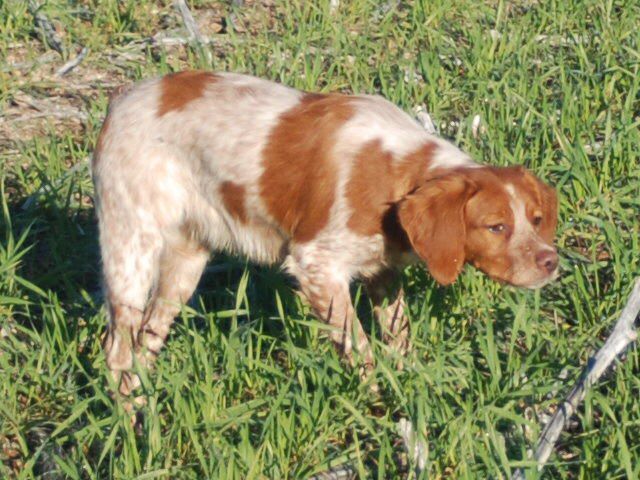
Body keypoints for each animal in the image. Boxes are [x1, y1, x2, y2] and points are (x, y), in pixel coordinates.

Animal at [92, 70, 556, 394]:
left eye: (535, 219)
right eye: (496, 226)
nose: (551, 261)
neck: (397, 173)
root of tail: (119, 102)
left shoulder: (382, 270)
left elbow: (399, 338)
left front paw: (410, 389)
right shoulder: (317, 266)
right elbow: (361, 352)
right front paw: (379, 408)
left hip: (184, 265)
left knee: (145, 344)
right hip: (129, 249)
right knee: (117, 352)